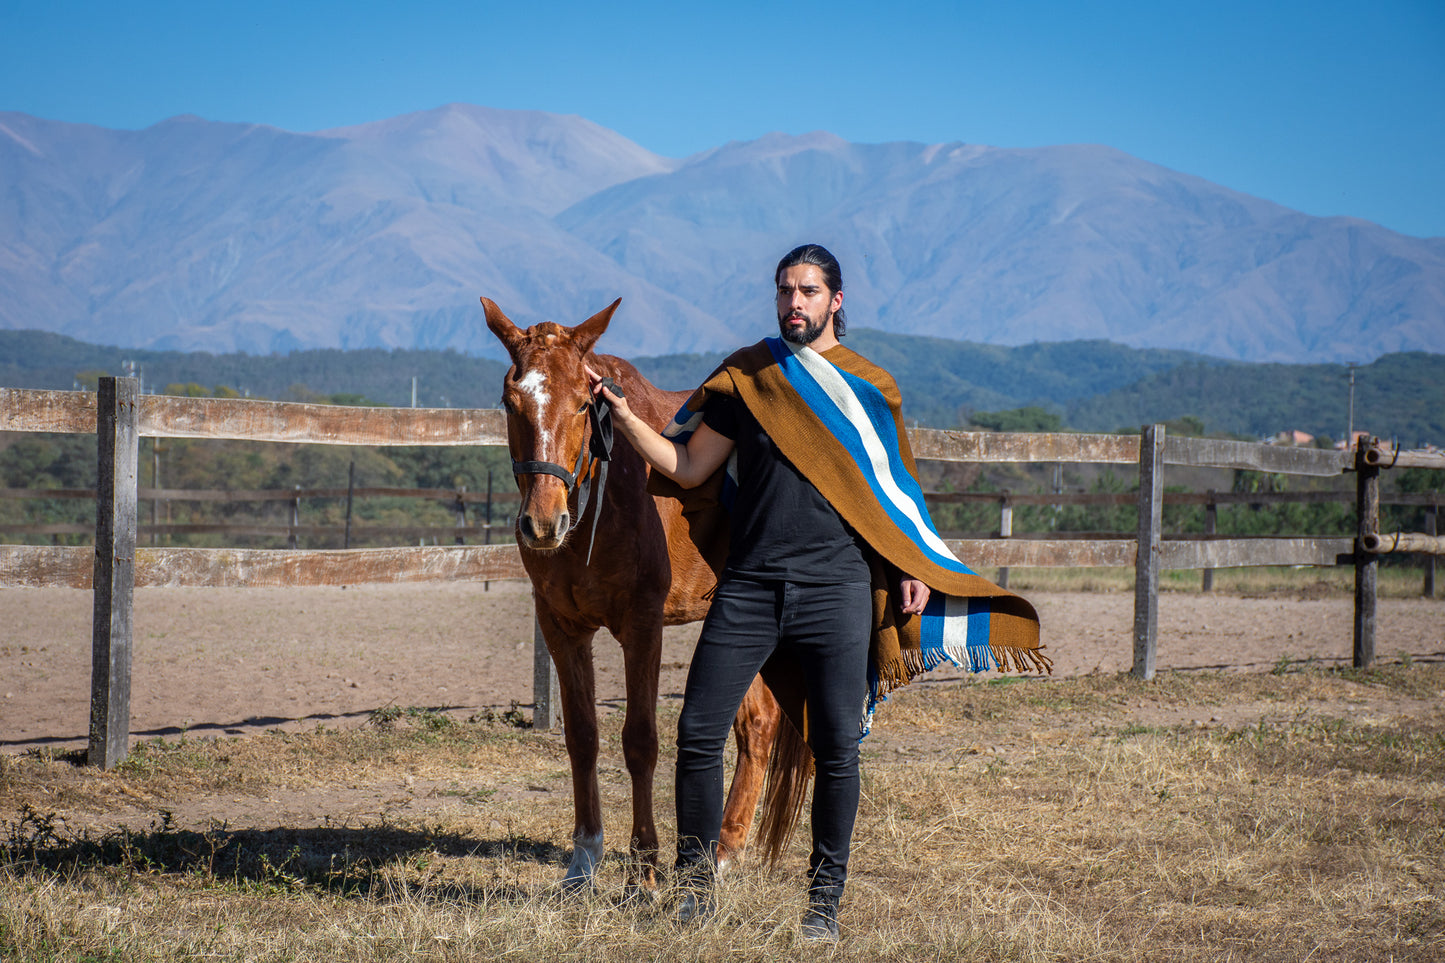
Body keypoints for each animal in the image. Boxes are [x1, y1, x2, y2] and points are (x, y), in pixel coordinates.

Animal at [485, 294, 814, 890]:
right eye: (509, 400)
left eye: (582, 404)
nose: (543, 523)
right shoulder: (562, 629)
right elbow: (583, 737)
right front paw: (584, 860)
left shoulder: (642, 628)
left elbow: (639, 741)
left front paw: (644, 869)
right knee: (756, 725)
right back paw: (725, 849)